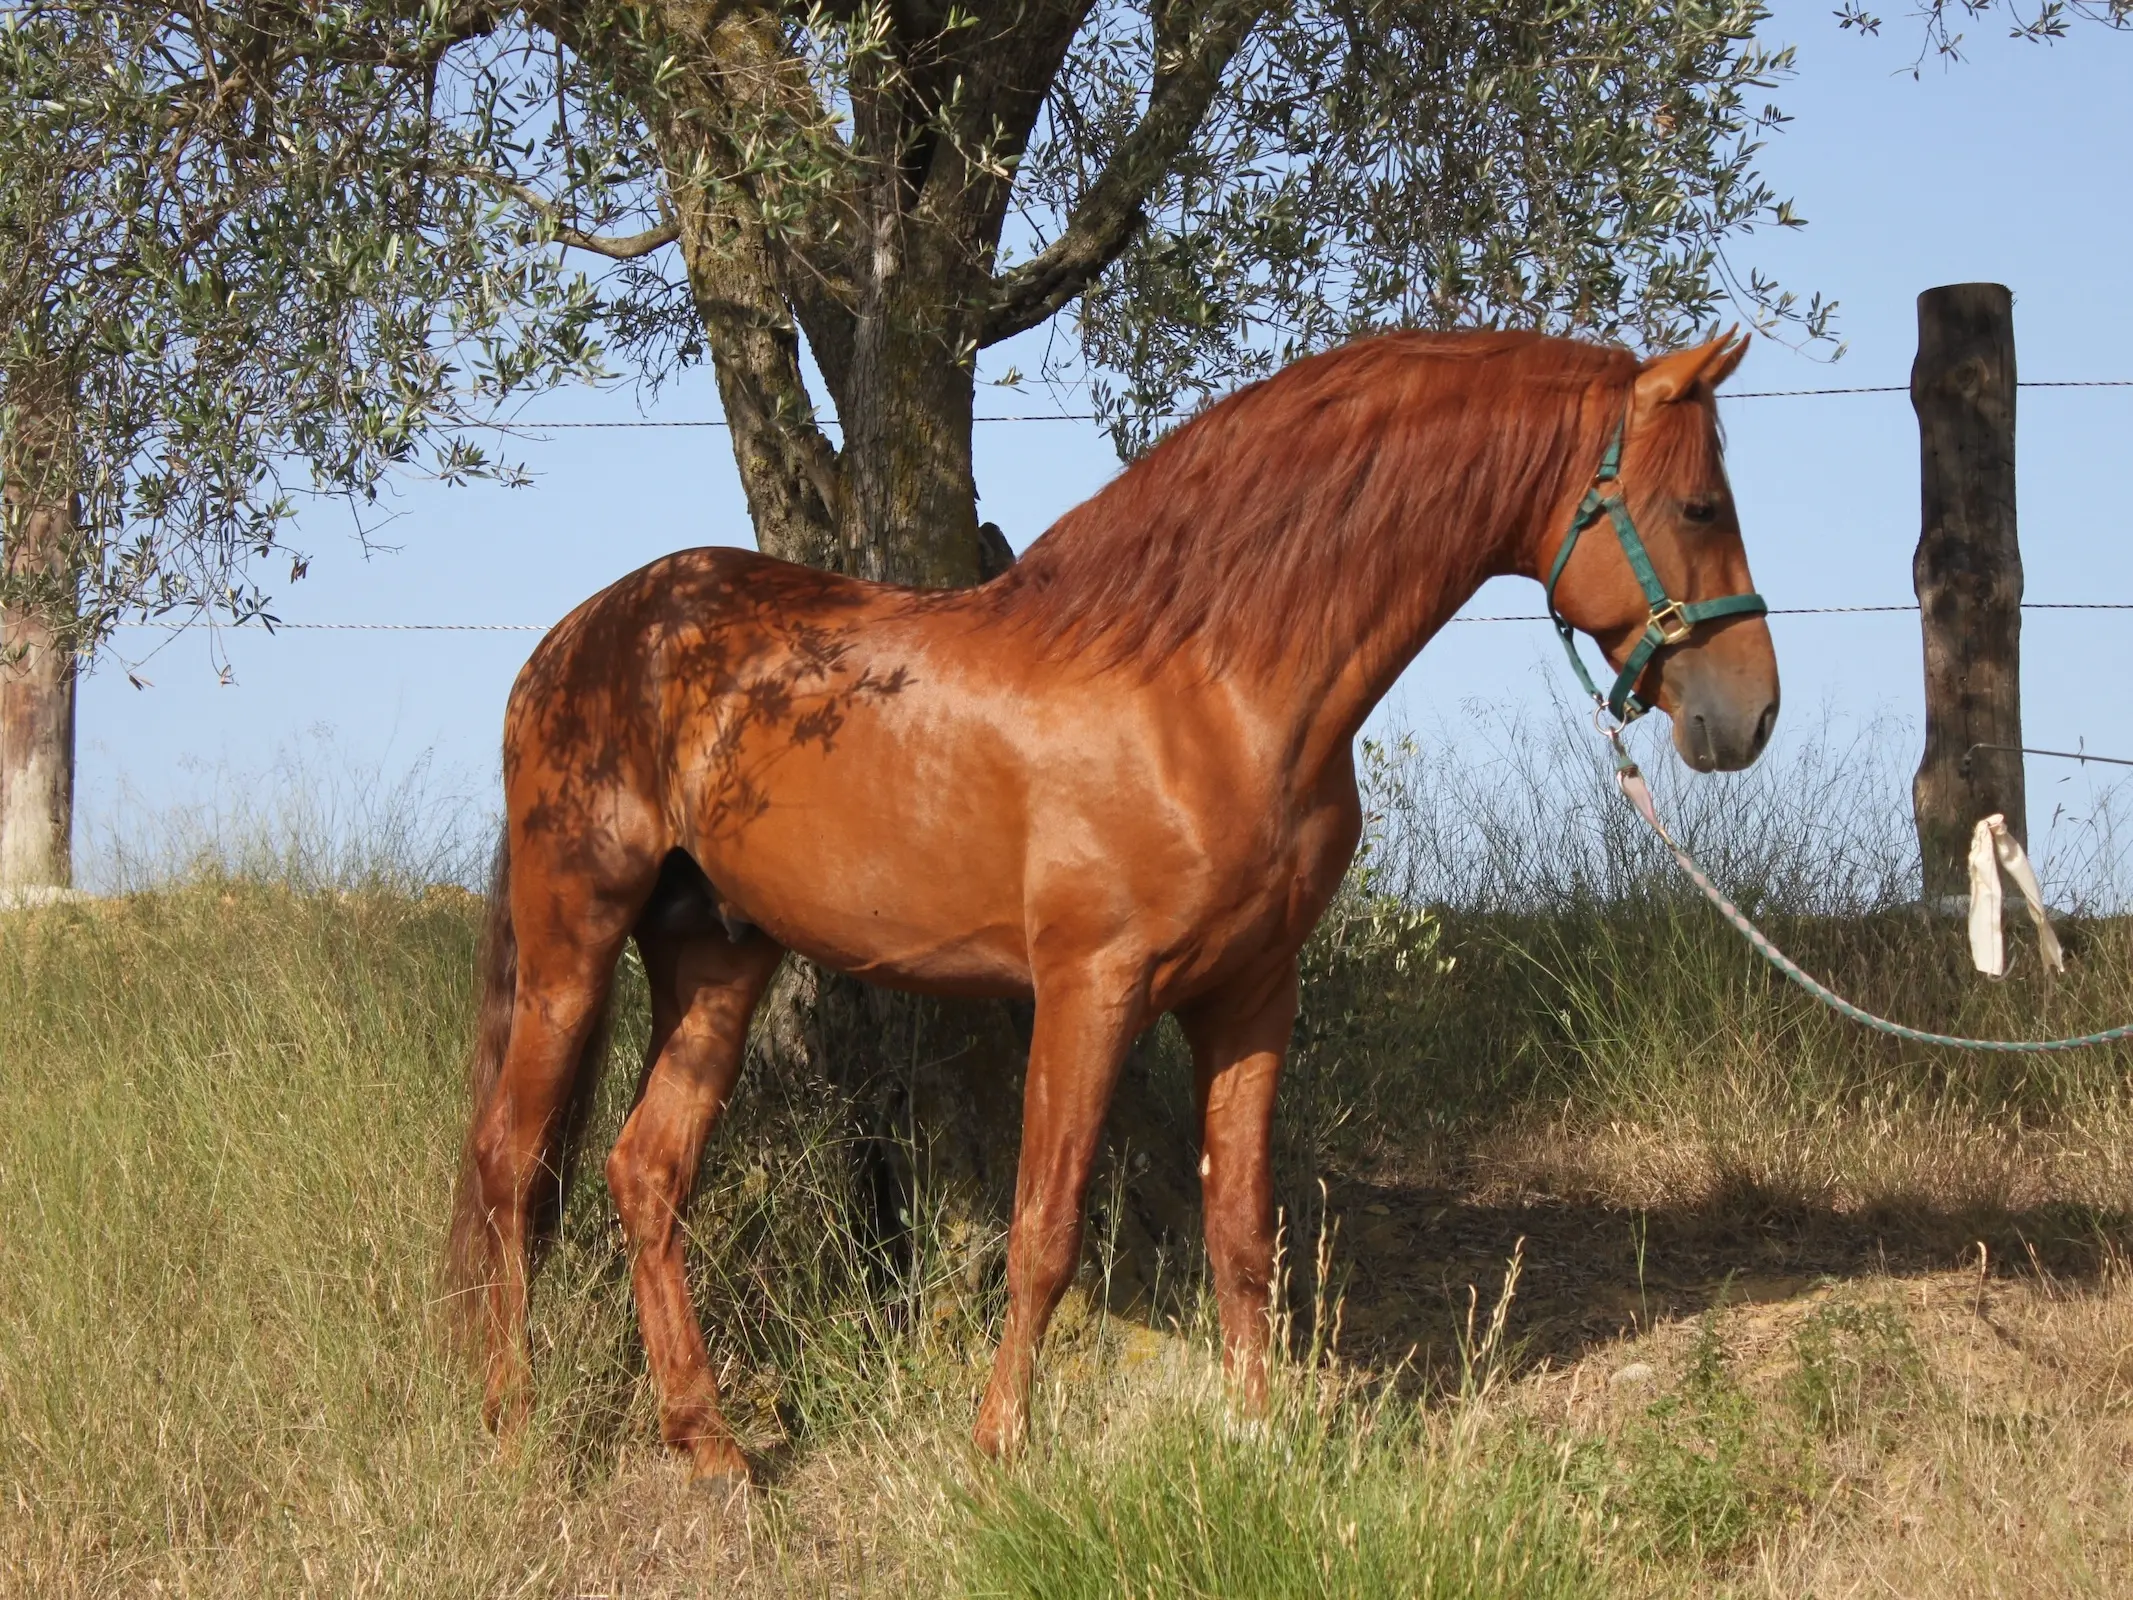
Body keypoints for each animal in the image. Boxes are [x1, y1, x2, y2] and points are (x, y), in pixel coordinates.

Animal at [450, 328, 1783, 1493]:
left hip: (717, 954)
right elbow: (1044, 1231)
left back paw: (711, 1445)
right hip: (575, 936)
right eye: (1701, 508)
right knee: (511, 1165)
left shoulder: (1251, 993)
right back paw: (510, 1428)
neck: (1208, 682)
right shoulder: (1089, 985)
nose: (1750, 714)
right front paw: (998, 1452)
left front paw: (1257, 1438)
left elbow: (1241, 1225)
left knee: (644, 1169)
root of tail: (573, 641)